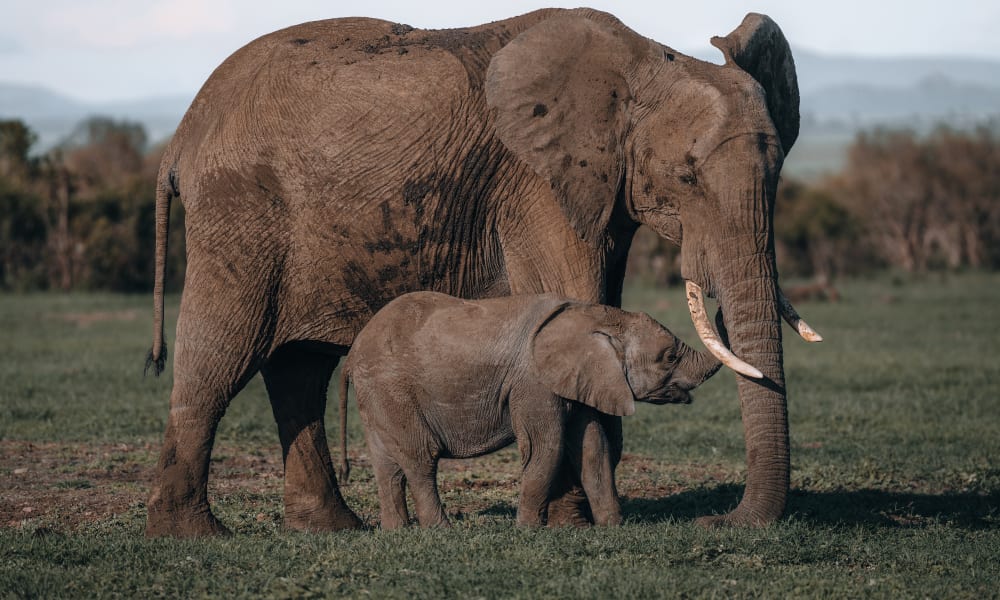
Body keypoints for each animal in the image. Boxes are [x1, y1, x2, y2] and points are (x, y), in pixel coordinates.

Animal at [342, 292, 720, 528]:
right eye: (669, 357)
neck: (595, 314)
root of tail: (353, 353)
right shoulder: (535, 382)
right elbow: (545, 448)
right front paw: (527, 530)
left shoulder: (581, 378)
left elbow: (592, 449)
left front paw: (614, 527)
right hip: (393, 390)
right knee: (421, 458)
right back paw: (441, 530)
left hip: (376, 396)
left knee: (386, 465)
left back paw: (397, 532)